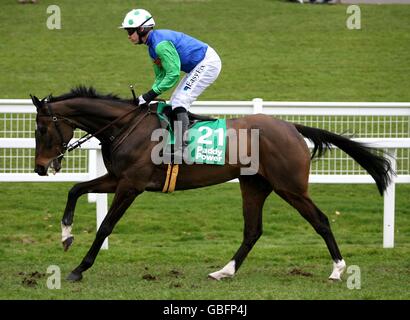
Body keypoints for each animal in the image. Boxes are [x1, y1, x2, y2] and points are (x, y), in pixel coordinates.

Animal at [30, 85, 392, 282]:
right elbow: (76, 189)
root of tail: (291, 126)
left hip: (290, 186)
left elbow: (105, 226)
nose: (40, 168)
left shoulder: (131, 184)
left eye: (42, 129)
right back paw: (224, 271)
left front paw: (79, 268)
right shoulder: (118, 178)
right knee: (253, 231)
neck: (126, 127)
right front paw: (66, 235)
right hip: (254, 185)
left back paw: (338, 270)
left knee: (321, 220)